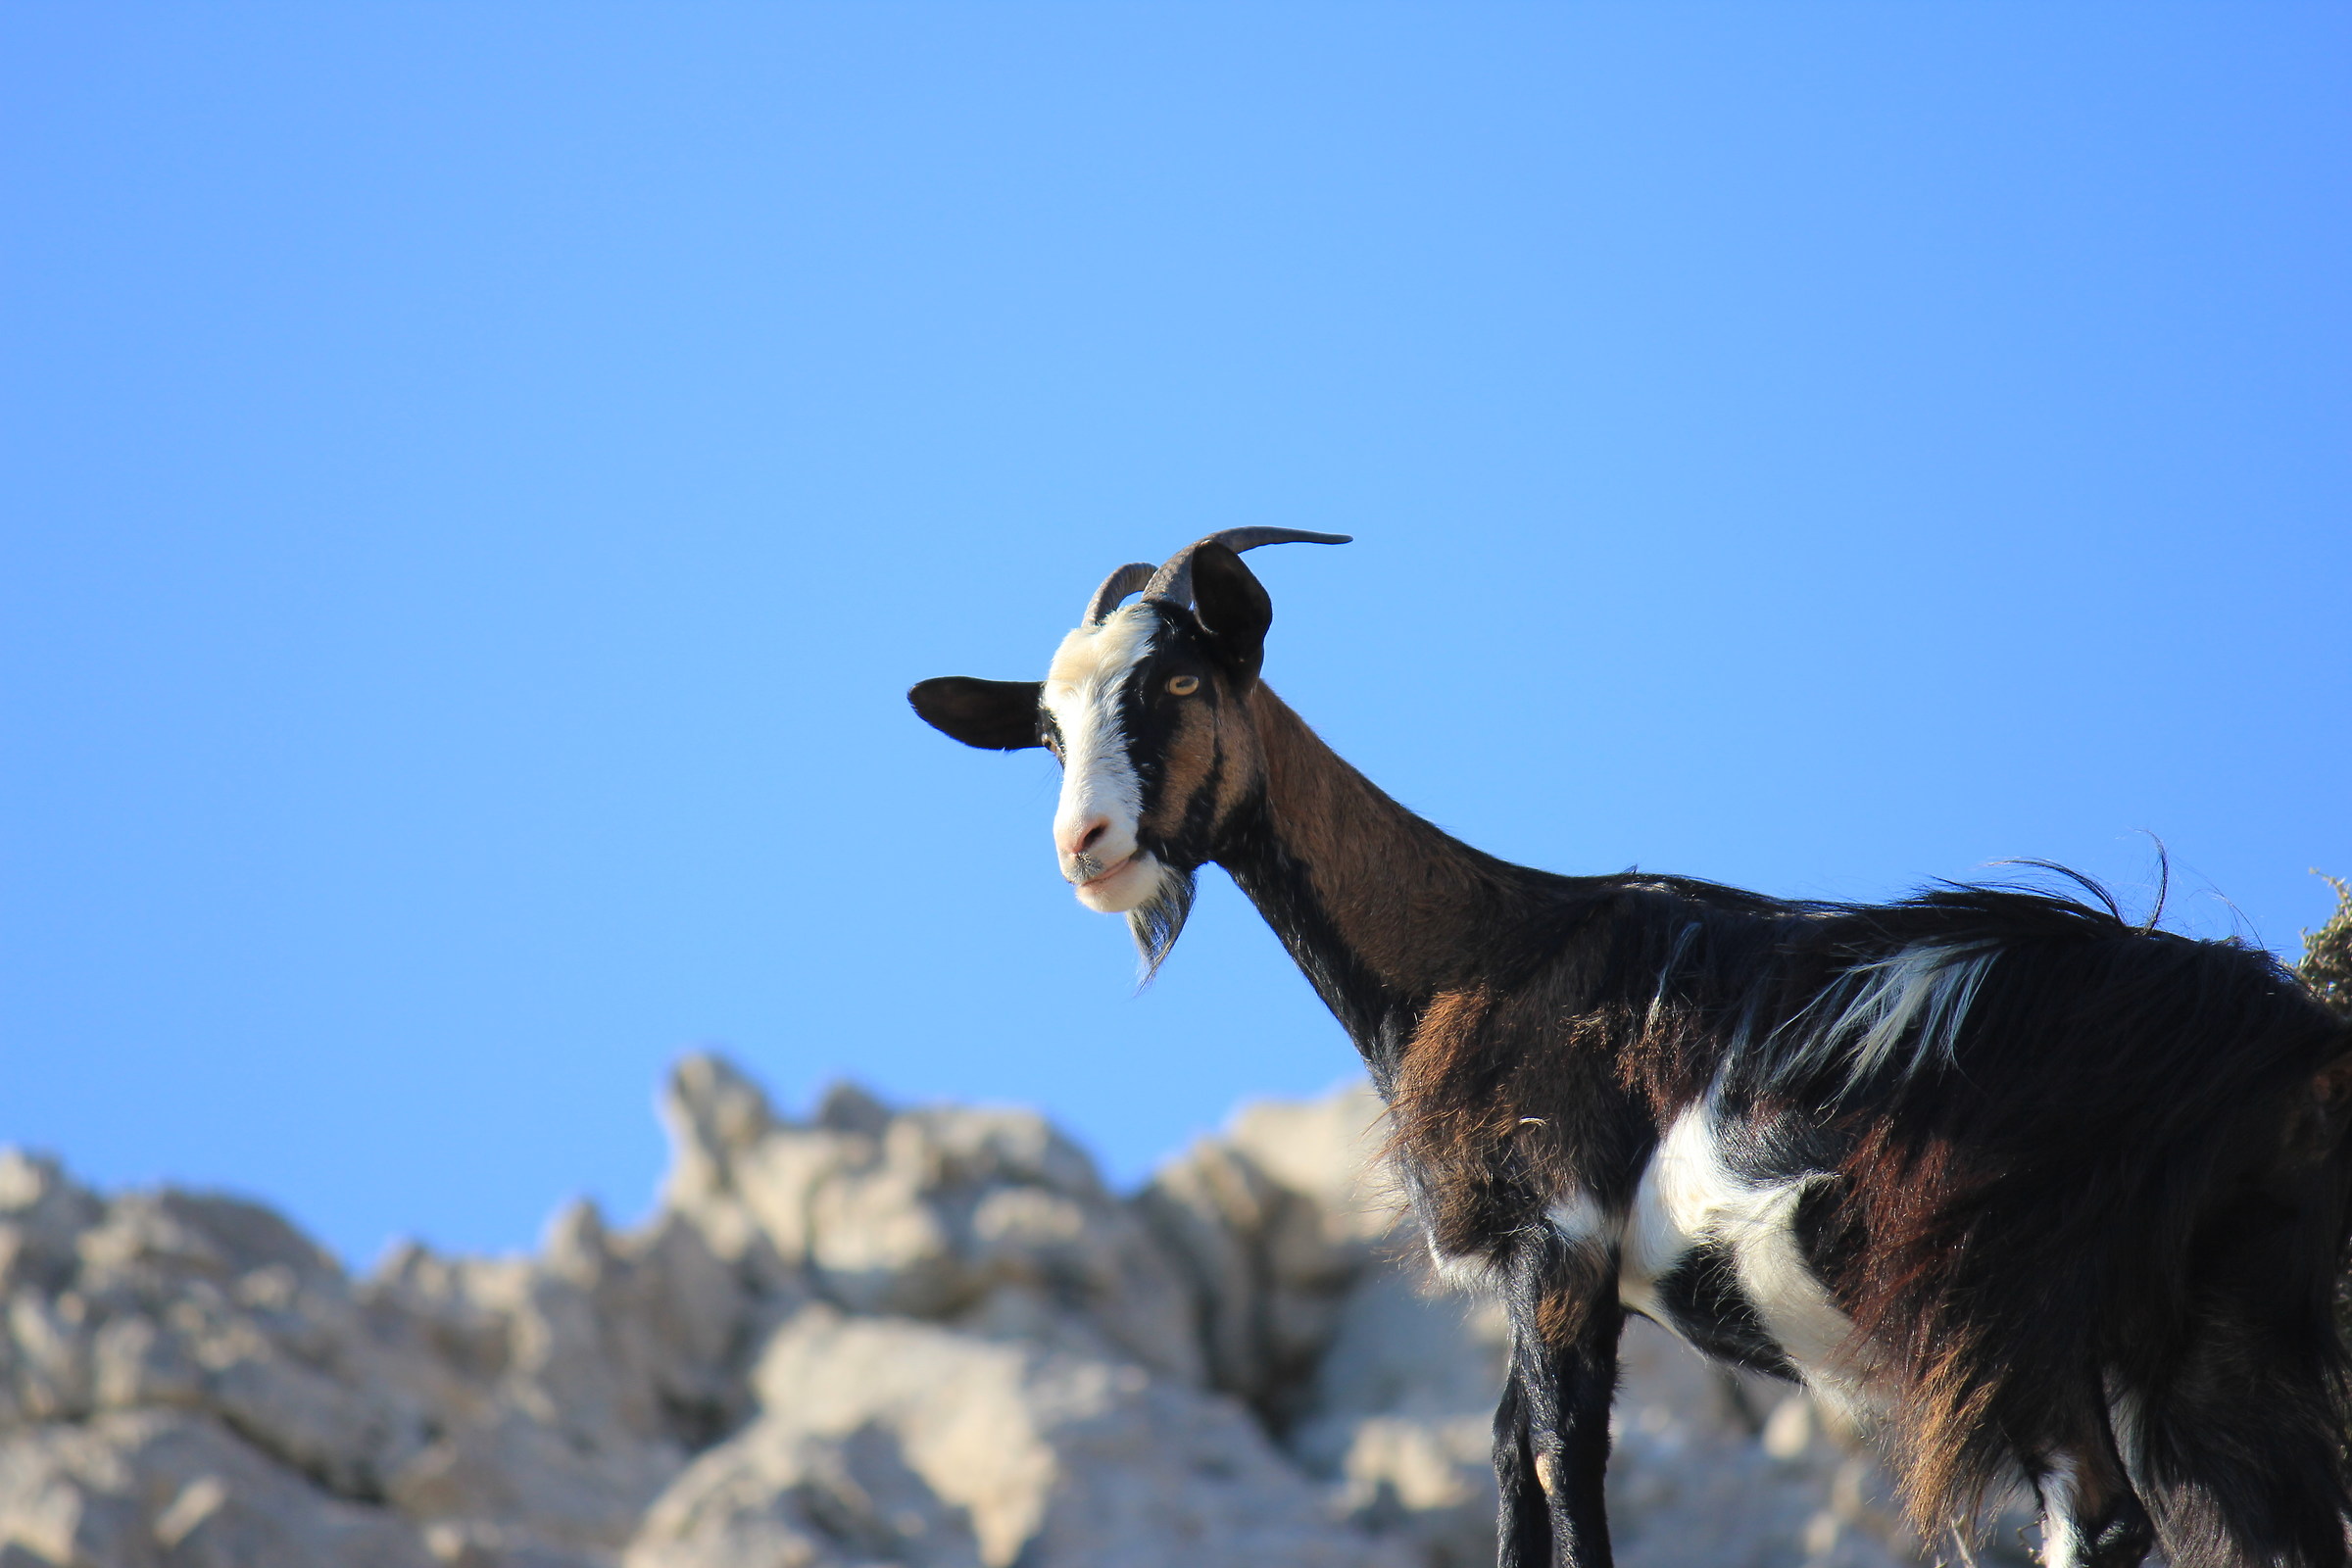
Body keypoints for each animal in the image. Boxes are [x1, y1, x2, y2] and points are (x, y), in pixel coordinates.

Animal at [909, 530, 2352, 1568]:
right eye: (1045, 728)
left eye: (1176, 680)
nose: (1085, 849)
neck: (1479, 945)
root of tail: (2265, 1023)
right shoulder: (1542, 1269)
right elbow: (1509, 1464)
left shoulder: (1557, 1237)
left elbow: (1562, 1466)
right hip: (2221, 1322)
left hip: (2009, 1296)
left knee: (2098, 1519)